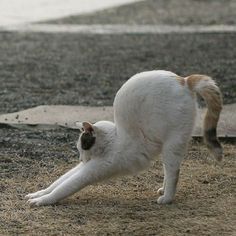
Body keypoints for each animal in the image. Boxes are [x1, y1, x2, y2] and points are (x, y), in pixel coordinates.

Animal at [25, 69, 223, 206]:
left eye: (82, 147)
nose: (81, 159)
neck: (114, 140)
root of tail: (184, 80)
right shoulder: (86, 166)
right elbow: (58, 181)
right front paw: (39, 193)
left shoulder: (93, 169)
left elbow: (65, 187)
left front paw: (43, 200)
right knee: (168, 171)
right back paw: (163, 190)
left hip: (172, 145)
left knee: (174, 172)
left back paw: (167, 198)